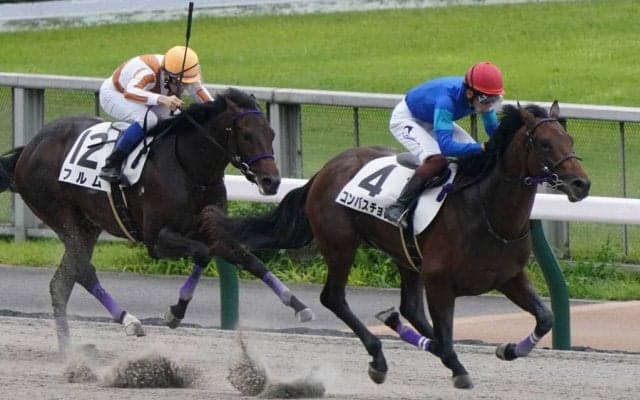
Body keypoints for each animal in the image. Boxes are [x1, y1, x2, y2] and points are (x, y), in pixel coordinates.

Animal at [0, 88, 313, 354]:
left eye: (271, 133)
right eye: (246, 134)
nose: (272, 182)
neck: (189, 168)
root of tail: (29, 148)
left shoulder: (211, 227)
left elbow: (248, 258)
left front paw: (297, 304)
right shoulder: (156, 240)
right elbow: (202, 253)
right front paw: (176, 312)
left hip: (89, 223)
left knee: (63, 281)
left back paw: (69, 349)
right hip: (60, 214)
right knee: (82, 270)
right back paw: (127, 321)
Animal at [200, 101, 590, 389]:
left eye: (571, 141)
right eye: (544, 144)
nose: (581, 184)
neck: (487, 210)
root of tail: (326, 169)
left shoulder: (509, 277)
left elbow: (546, 317)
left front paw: (509, 349)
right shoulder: (439, 281)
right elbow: (446, 337)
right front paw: (457, 367)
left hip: (405, 256)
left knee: (410, 309)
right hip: (341, 243)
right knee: (334, 297)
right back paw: (379, 357)